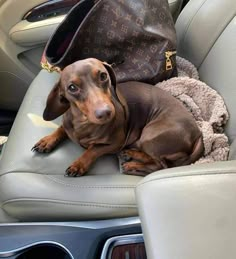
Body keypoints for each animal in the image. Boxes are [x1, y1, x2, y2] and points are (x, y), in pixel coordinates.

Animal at [32, 58, 204, 178]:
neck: (83, 123)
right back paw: (132, 154)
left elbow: (93, 149)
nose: (105, 112)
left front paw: (78, 164)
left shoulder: (116, 143)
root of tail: (197, 134)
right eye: (72, 87)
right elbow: (61, 129)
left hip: (149, 134)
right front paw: (46, 141)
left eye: (103, 76)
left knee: (160, 165)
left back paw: (133, 166)